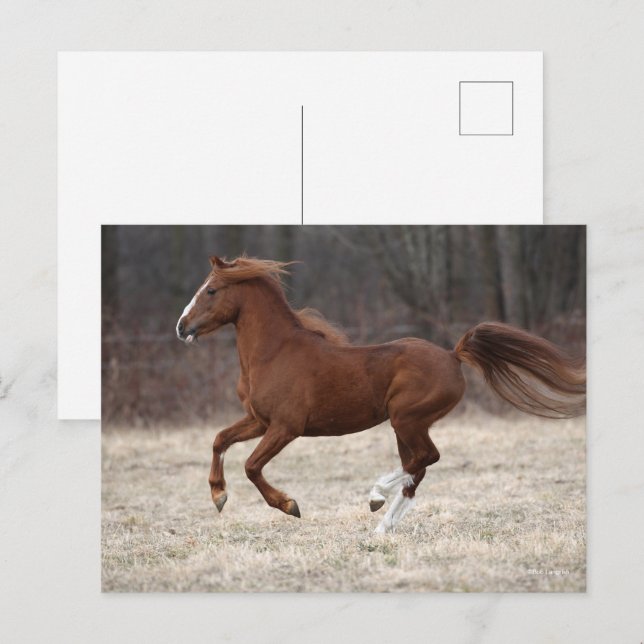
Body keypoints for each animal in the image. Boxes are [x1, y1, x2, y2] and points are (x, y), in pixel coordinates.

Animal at [176, 256, 586, 533]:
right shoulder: (258, 420)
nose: (181, 327)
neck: (274, 353)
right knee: (418, 468)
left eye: (211, 290)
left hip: (407, 419)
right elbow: (219, 440)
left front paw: (289, 505)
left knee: (425, 458)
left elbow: (251, 466)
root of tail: (452, 355)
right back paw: (382, 525)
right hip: (404, 424)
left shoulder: (285, 427)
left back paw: (375, 496)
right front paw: (218, 496)